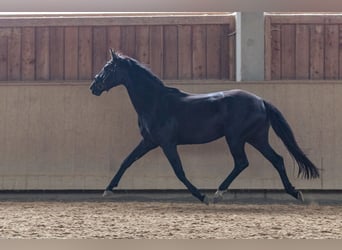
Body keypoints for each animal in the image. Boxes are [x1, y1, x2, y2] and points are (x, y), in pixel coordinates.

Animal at [89, 49, 320, 204]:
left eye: (108, 68)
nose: (93, 87)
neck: (155, 102)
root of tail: (261, 101)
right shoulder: (149, 141)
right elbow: (126, 162)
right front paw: (108, 189)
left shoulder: (167, 143)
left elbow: (179, 171)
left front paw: (201, 196)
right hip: (256, 138)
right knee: (277, 160)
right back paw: (295, 192)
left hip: (236, 138)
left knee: (242, 162)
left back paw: (218, 193)